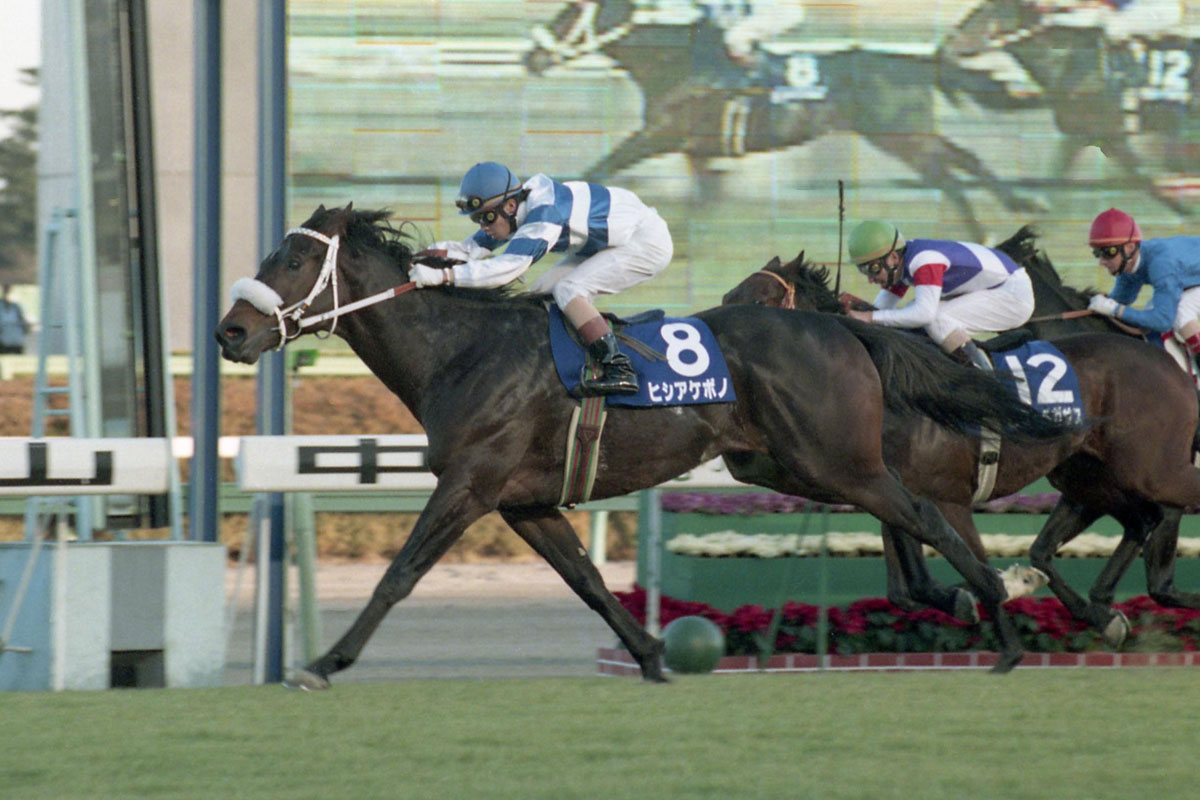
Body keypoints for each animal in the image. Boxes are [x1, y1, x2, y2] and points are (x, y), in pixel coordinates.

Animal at [215, 204, 1081, 681]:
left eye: (294, 257)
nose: (229, 332)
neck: (460, 349)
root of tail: (844, 327)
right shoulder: (525, 502)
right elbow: (591, 584)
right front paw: (656, 656)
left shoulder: (469, 484)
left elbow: (398, 576)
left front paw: (322, 665)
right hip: (790, 462)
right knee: (911, 519)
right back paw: (981, 602)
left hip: (836, 459)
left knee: (926, 516)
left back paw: (1002, 612)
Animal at [524, 0, 1043, 241]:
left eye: (570, 14)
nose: (531, 57)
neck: (676, 62)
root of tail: (918, 62)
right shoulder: (696, 151)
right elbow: (699, 202)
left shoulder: (661, 135)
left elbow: (599, 169)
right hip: (908, 133)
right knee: (965, 160)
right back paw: (1020, 207)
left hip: (902, 137)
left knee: (951, 177)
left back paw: (987, 232)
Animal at [721, 230, 1200, 646]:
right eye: (729, 298)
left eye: (760, 300)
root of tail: (1168, 367)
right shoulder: (885, 487)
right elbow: (904, 588)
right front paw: (965, 599)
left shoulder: (945, 496)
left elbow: (958, 566)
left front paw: (993, 600)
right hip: (1090, 478)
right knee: (1134, 524)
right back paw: (1102, 611)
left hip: (1149, 471)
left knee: (1154, 526)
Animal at [943, 0, 1200, 217]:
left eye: (980, 14)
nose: (946, 48)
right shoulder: (1080, 136)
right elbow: (1056, 175)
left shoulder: (1113, 138)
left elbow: (1148, 180)